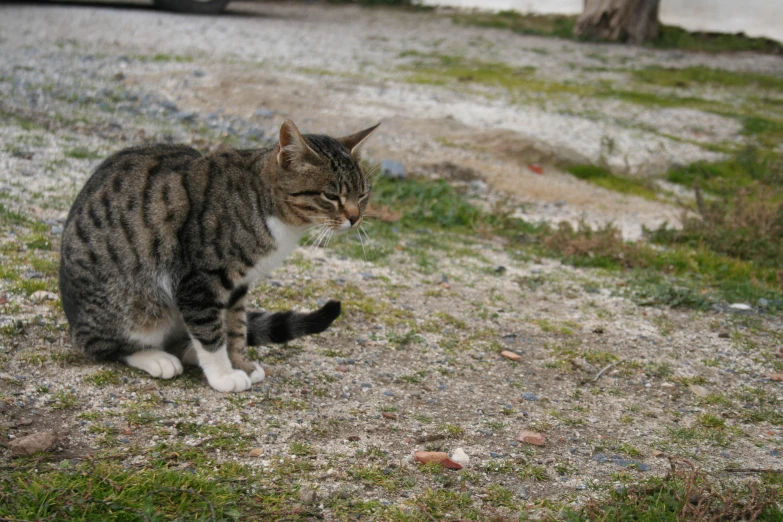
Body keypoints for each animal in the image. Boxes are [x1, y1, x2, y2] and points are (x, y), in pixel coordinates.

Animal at [59, 120, 378, 388]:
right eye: (331, 196)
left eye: (362, 195)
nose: (355, 218)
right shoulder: (198, 280)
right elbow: (210, 331)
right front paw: (224, 375)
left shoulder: (238, 285)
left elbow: (235, 327)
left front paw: (240, 364)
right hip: (132, 308)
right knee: (103, 345)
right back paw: (156, 357)